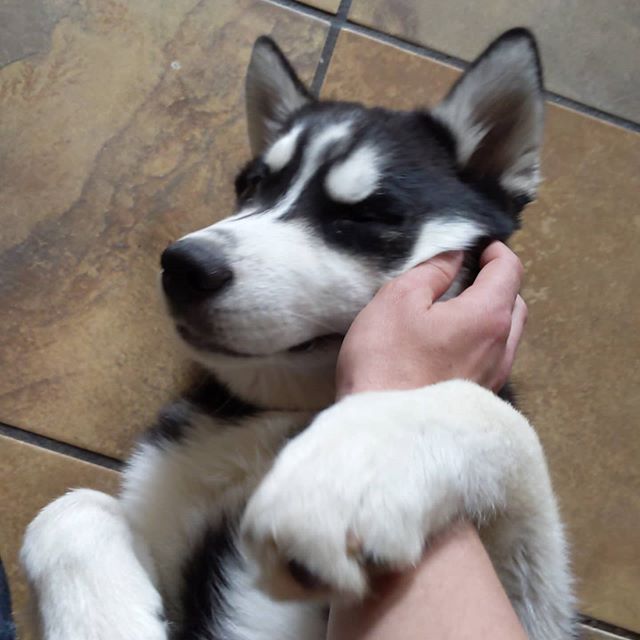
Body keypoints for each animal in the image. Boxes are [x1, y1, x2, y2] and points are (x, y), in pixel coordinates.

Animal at [22, 27, 576, 636]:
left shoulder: (536, 614)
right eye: (252, 186)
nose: (183, 266)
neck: (278, 413)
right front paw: (107, 620)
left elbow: (497, 417)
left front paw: (346, 474)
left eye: (366, 215)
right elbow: (69, 508)